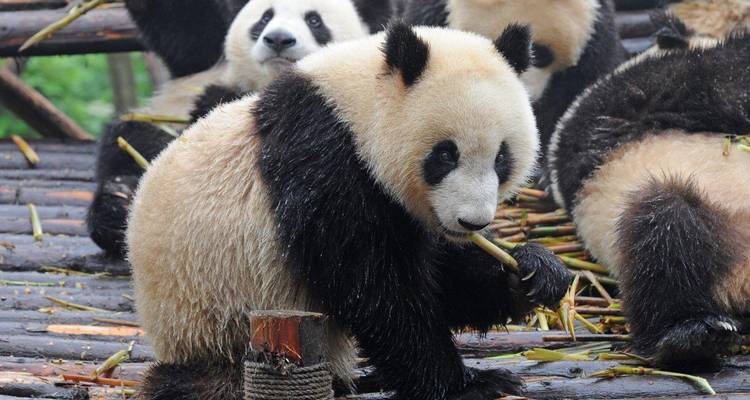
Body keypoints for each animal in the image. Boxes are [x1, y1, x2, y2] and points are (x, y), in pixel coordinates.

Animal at [87, 0, 369, 258]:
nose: (278, 39)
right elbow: (190, 37)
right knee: (129, 138)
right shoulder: (208, 59)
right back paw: (117, 206)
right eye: (265, 17)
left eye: (314, 21)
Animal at [127, 23, 572, 400]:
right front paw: (467, 383)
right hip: (214, 320)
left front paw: (532, 272)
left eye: (502, 157)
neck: (355, 106)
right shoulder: (323, 159)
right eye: (445, 155)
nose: (472, 222)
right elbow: (369, 284)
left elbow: (441, 277)